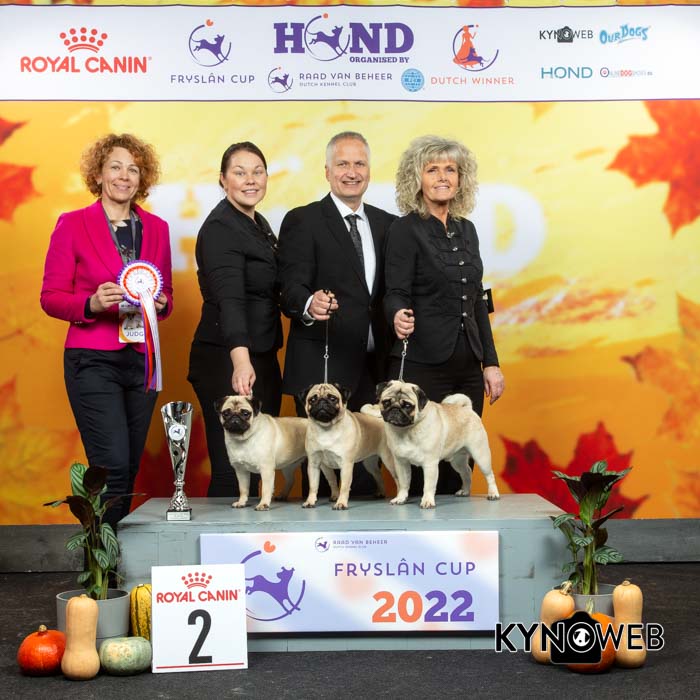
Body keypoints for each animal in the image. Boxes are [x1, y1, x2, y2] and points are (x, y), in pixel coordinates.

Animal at [364, 380, 500, 509]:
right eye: (386, 402)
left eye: (408, 406)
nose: (395, 409)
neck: (406, 430)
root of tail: (467, 409)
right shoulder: (401, 463)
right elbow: (404, 484)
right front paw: (401, 498)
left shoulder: (430, 464)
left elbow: (428, 486)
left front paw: (427, 501)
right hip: (458, 461)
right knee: (466, 472)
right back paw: (465, 491)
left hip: (481, 455)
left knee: (489, 475)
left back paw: (493, 493)